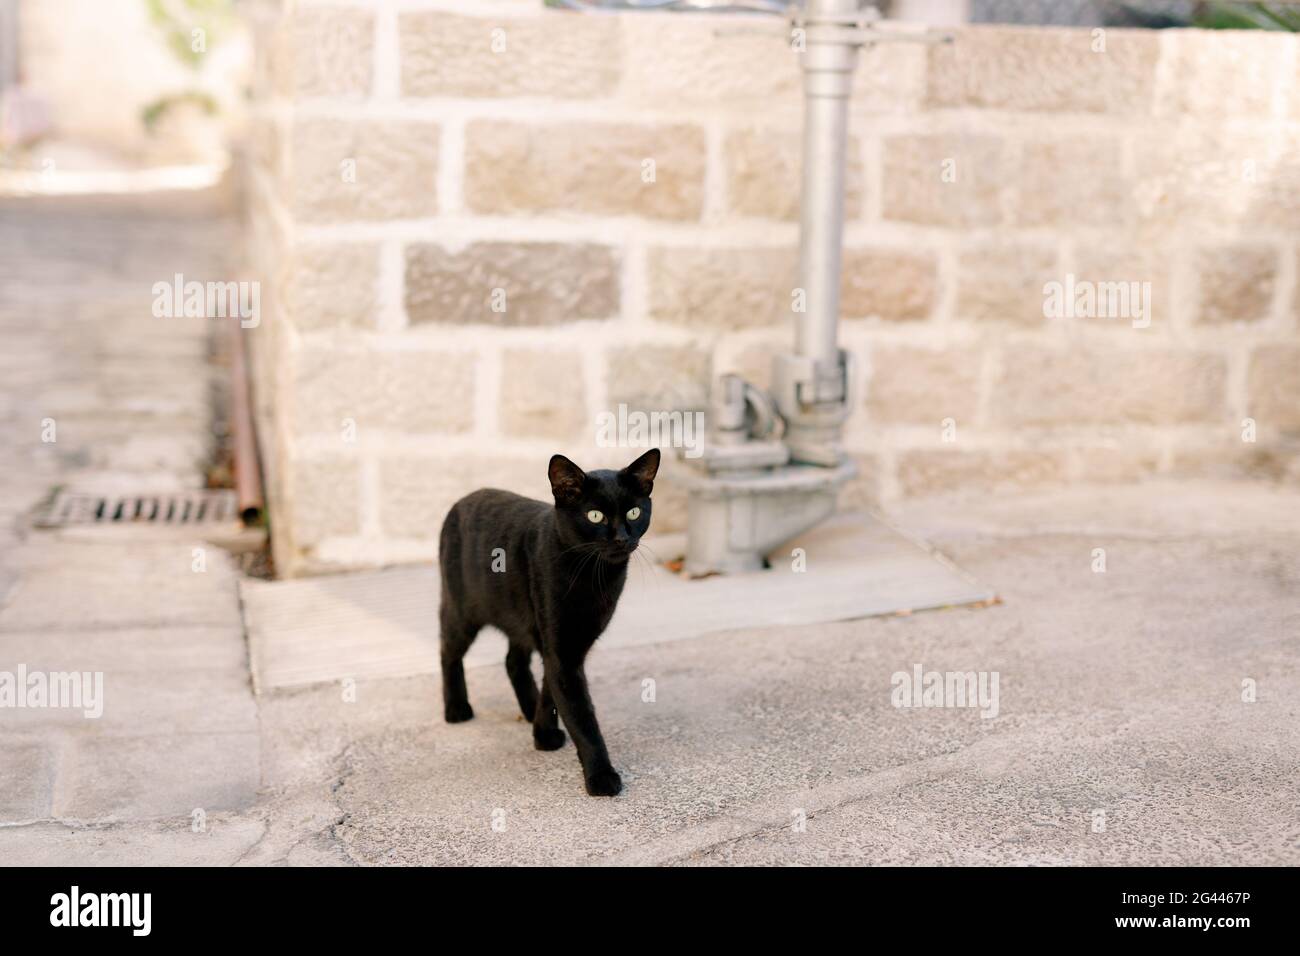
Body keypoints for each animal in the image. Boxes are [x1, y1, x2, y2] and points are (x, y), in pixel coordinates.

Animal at [436, 452, 660, 796]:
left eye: (634, 512)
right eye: (595, 516)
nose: (622, 538)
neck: (593, 577)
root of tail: (461, 500)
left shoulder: (564, 648)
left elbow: (551, 691)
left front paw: (543, 733)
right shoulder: (562, 653)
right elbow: (582, 716)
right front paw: (601, 776)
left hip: (519, 620)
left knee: (512, 661)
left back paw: (528, 711)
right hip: (462, 612)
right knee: (449, 652)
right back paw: (456, 708)